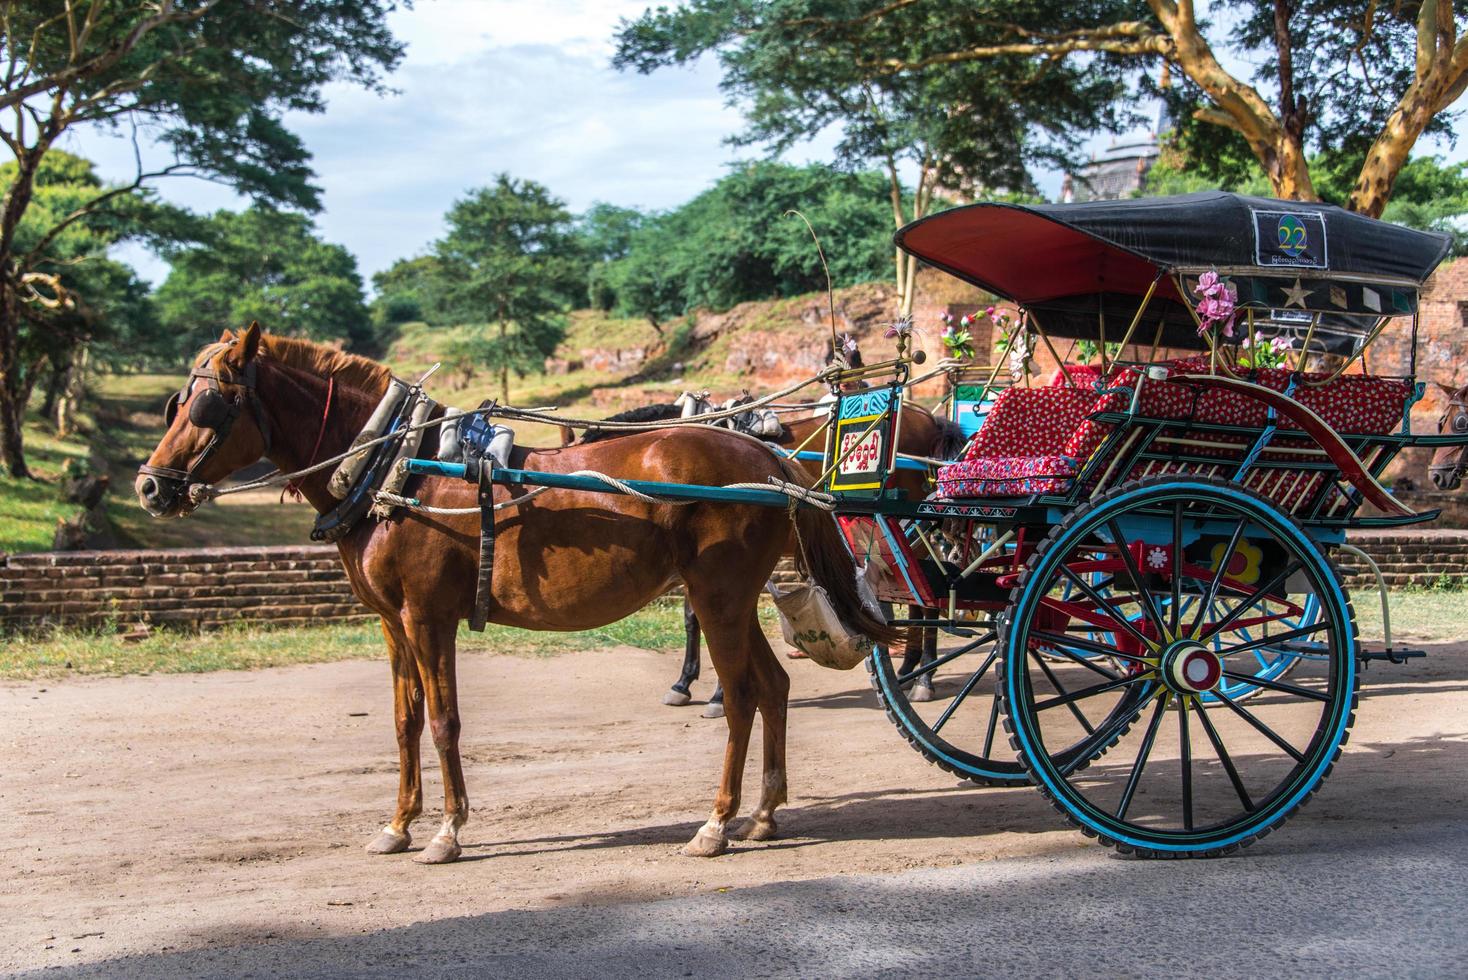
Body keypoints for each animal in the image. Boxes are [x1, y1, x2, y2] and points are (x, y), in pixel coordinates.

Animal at [137, 325, 892, 862]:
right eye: (178, 401)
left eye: (207, 404)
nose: (150, 486)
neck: (396, 468)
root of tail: (771, 458)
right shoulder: (391, 623)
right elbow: (405, 721)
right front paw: (398, 823)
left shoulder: (427, 615)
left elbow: (444, 722)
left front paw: (447, 831)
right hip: (733, 598)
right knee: (772, 686)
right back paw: (763, 814)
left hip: (718, 594)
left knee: (739, 697)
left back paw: (716, 822)